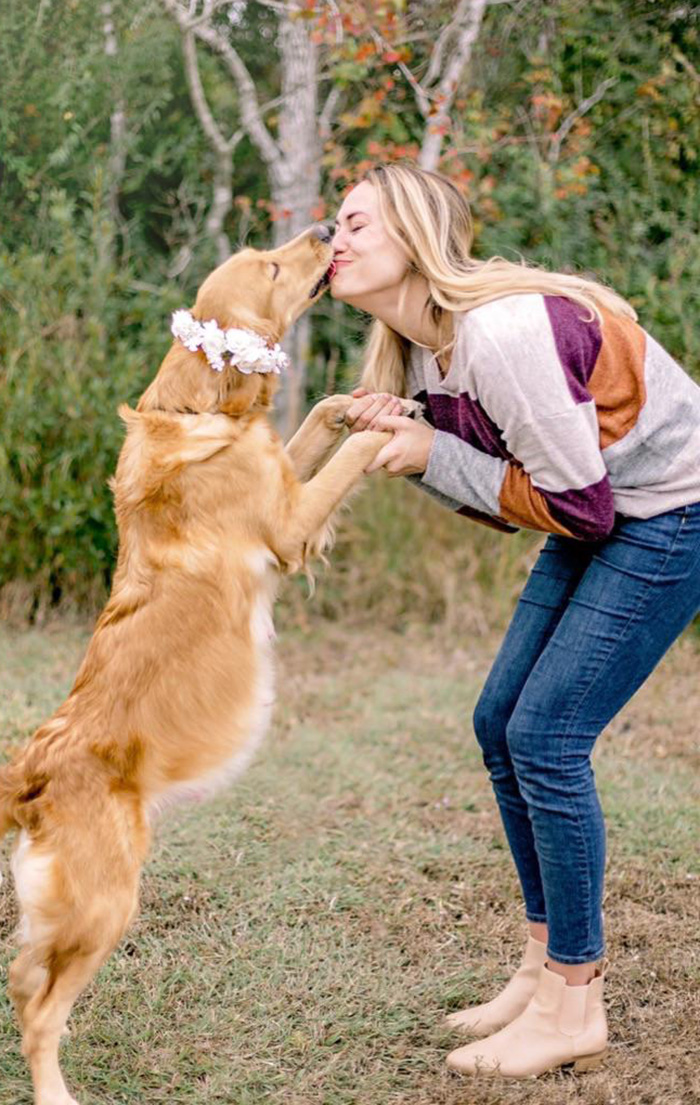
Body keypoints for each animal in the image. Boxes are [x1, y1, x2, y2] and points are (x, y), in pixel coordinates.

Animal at [0, 226, 393, 1105]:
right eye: (275, 266)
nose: (325, 229)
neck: (197, 407)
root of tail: (33, 769)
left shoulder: (284, 475)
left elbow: (318, 421)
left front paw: (354, 401)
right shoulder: (290, 523)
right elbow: (347, 460)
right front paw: (390, 420)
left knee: (19, 983)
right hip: (107, 906)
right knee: (39, 1014)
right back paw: (58, 1092)